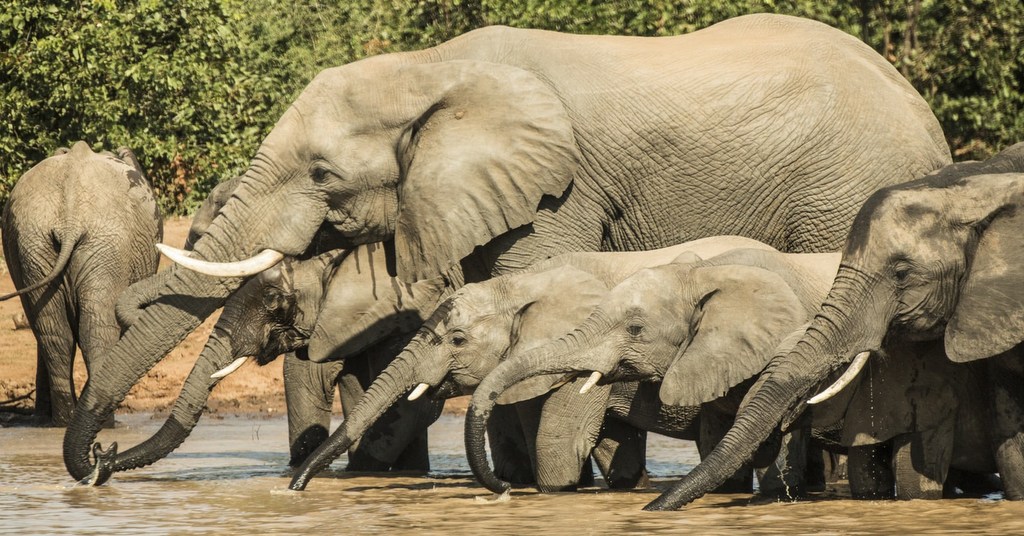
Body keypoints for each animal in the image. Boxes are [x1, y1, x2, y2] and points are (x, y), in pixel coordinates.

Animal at [1, 142, 160, 428]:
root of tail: (70, 218)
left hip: (34, 244)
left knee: (55, 335)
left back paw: (61, 422)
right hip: (106, 245)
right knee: (96, 330)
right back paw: (104, 422)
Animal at [284, 236, 770, 493]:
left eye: (457, 340)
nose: (294, 488)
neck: (520, 285)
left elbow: (559, 442)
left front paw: (546, 493)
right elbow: (610, 447)